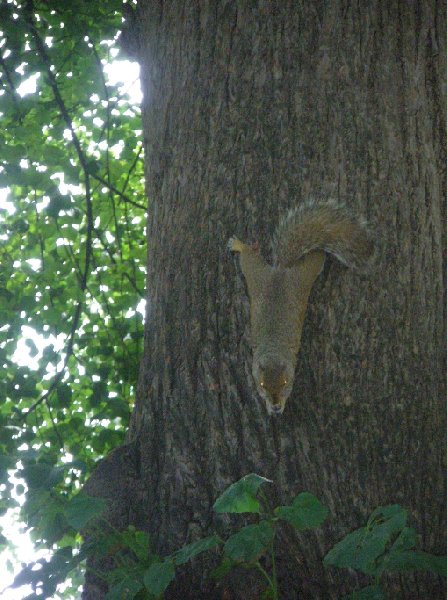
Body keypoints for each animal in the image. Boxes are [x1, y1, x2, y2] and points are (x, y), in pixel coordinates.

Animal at [229, 199, 372, 414]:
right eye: (261, 385)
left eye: (286, 382)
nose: (276, 405)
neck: (274, 350)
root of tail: (282, 272)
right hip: (263, 278)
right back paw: (240, 245)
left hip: (291, 276)